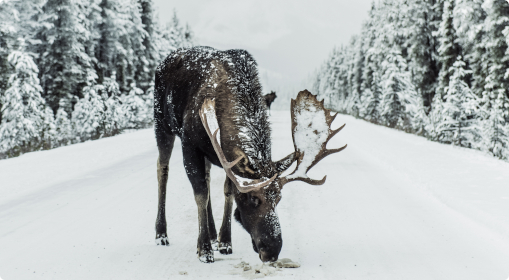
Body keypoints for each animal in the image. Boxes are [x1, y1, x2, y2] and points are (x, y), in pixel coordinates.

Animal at [153, 46, 348, 262]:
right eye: (253, 199)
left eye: (279, 198)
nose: (272, 251)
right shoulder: (189, 143)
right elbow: (201, 194)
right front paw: (204, 249)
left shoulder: (227, 158)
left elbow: (228, 192)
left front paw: (224, 241)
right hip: (162, 124)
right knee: (162, 169)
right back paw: (161, 234)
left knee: (207, 176)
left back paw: (212, 233)